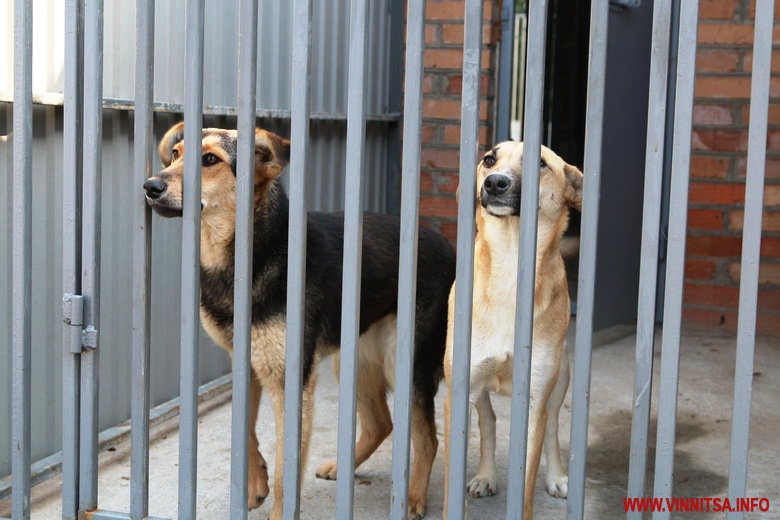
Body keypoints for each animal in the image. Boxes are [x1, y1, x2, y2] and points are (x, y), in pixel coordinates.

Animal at [143, 123, 454, 520]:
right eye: (176, 154)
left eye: (210, 159)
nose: (150, 186)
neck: (251, 254)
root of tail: (448, 247)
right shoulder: (247, 363)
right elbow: (244, 432)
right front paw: (256, 482)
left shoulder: (289, 379)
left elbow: (285, 466)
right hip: (354, 359)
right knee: (381, 423)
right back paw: (342, 467)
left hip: (403, 361)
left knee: (428, 437)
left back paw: (412, 499)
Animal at [442, 142, 580, 520]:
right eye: (489, 159)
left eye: (540, 163)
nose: (495, 183)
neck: (509, 264)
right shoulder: (460, 389)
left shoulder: (533, 401)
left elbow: (527, 481)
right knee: (488, 420)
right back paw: (485, 476)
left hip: (561, 379)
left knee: (553, 425)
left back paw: (558, 477)